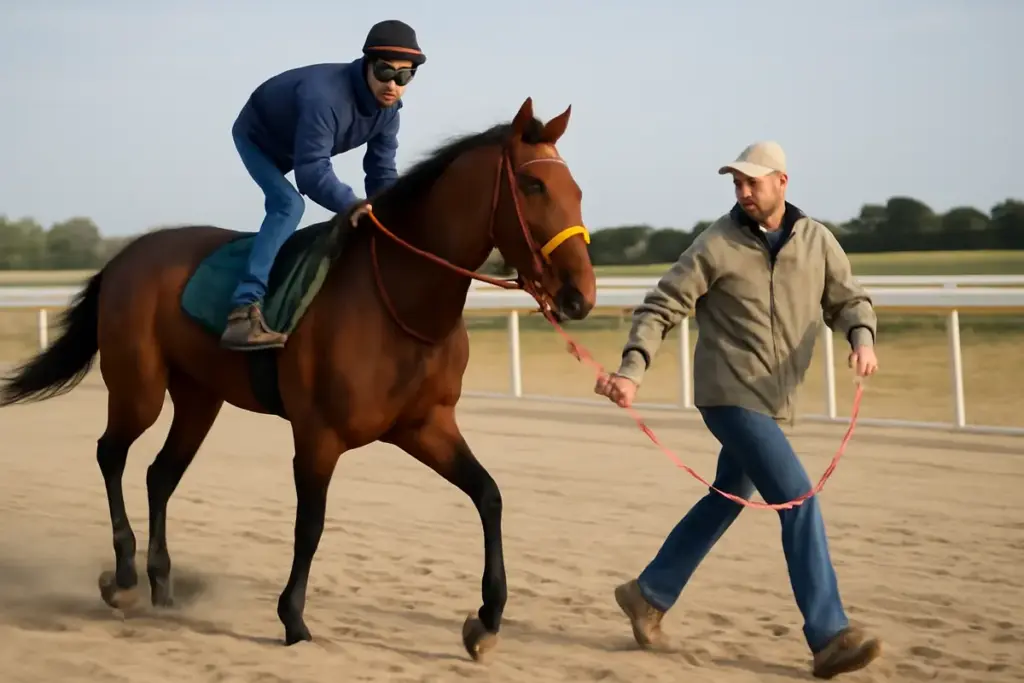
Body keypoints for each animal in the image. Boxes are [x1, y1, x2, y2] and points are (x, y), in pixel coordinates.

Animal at [0, 96, 598, 661]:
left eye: (576, 189)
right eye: (534, 184)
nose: (581, 295)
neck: (400, 299)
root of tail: (125, 257)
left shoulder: (425, 425)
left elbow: (488, 495)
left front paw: (486, 622)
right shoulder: (318, 433)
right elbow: (310, 524)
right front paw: (293, 620)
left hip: (199, 399)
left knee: (159, 474)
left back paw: (163, 589)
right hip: (138, 386)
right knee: (111, 455)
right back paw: (123, 577)